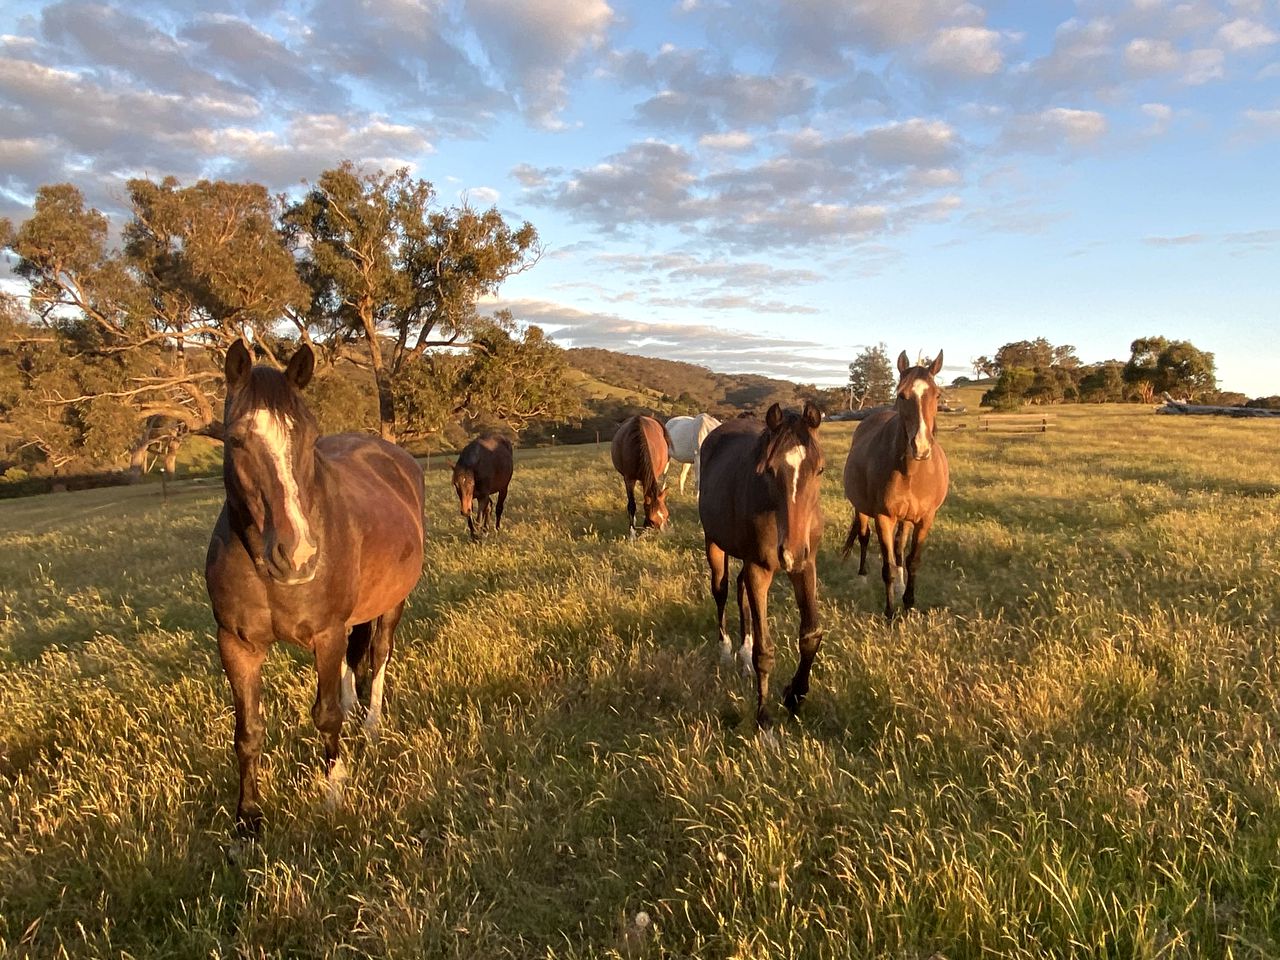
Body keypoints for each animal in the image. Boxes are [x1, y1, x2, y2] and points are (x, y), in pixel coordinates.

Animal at [205, 340, 425, 833]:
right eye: (236, 440)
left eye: (309, 438)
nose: (298, 555)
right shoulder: (236, 645)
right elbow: (248, 732)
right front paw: (247, 821)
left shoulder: (325, 633)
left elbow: (326, 716)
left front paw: (333, 796)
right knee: (351, 662)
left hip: (392, 604)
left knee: (378, 656)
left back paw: (371, 728)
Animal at [698, 401, 825, 728]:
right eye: (769, 470)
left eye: (819, 470)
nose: (791, 552)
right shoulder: (760, 569)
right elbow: (765, 651)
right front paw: (764, 718)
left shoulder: (806, 567)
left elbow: (810, 635)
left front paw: (795, 695)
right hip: (714, 543)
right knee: (722, 589)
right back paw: (727, 649)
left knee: (740, 588)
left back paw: (743, 651)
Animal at [842, 350, 949, 620]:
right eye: (902, 395)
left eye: (937, 395)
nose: (921, 447)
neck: (911, 473)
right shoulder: (883, 517)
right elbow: (887, 566)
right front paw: (890, 613)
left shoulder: (925, 518)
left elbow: (912, 560)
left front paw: (909, 603)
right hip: (862, 509)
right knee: (864, 537)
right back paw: (862, 576)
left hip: (907, 518)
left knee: (900, 545)